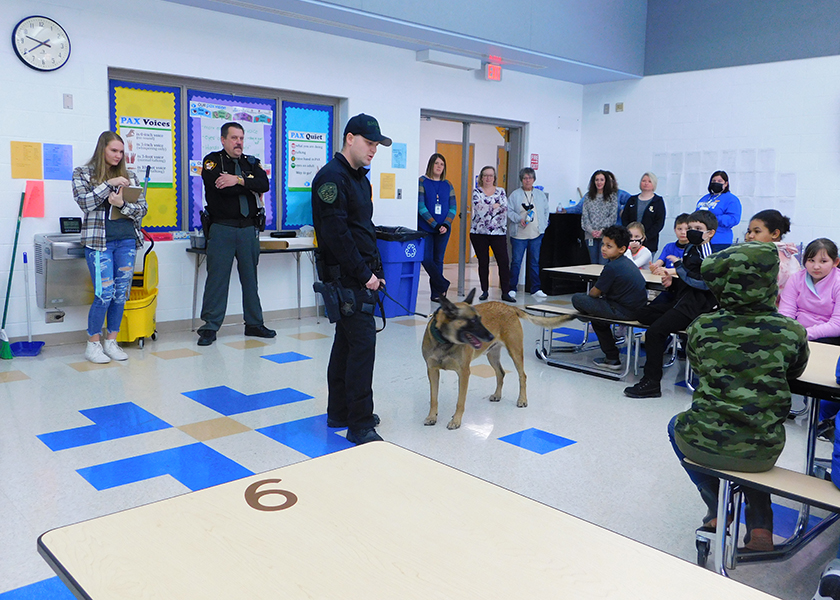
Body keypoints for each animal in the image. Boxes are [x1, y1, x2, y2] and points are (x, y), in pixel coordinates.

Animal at [424, 288, 576, 428]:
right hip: (492, 355)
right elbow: (433, 398)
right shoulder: (432, 371)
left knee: (522, 376)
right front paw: (432, 416)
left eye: (480, 319)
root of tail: (509, 307)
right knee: (500, 373)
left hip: (515, 352)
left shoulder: (464, 373)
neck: (445, 342)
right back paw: (497, 395)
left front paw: (456, 420)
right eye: (472, 321)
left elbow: (460, 402)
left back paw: (522, 399)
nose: (490, 336)